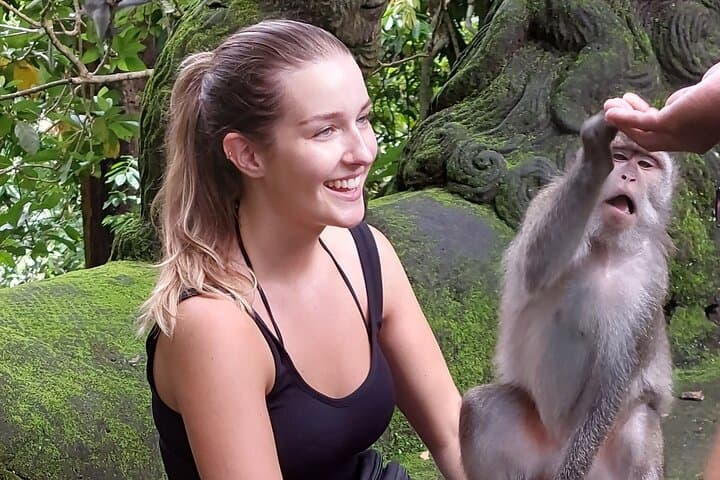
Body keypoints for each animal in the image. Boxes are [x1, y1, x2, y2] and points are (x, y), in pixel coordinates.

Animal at [459, 113, 676, 480]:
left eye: (645, 164)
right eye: (621, 156)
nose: (627, 175)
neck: (607, 249)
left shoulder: (653, 280)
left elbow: (615, 377)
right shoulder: (545, 201)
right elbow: (535, 264)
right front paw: (595, 158)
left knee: (639, 422)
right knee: (482, 410)